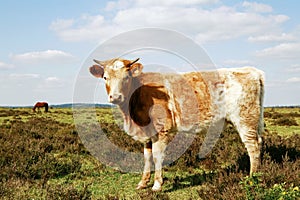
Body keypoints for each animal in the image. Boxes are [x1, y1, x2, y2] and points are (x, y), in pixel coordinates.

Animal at [88, 57, 264, 191]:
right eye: (105, 77)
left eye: (126, 77)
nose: (115, 97)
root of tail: (252, 71)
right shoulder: (147, 133)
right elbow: (147, 157)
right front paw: (143, 183)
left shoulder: (162, 129)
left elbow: (157, 156)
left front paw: (157, 185)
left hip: (245, 119)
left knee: (253, 146)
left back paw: (252, 177)